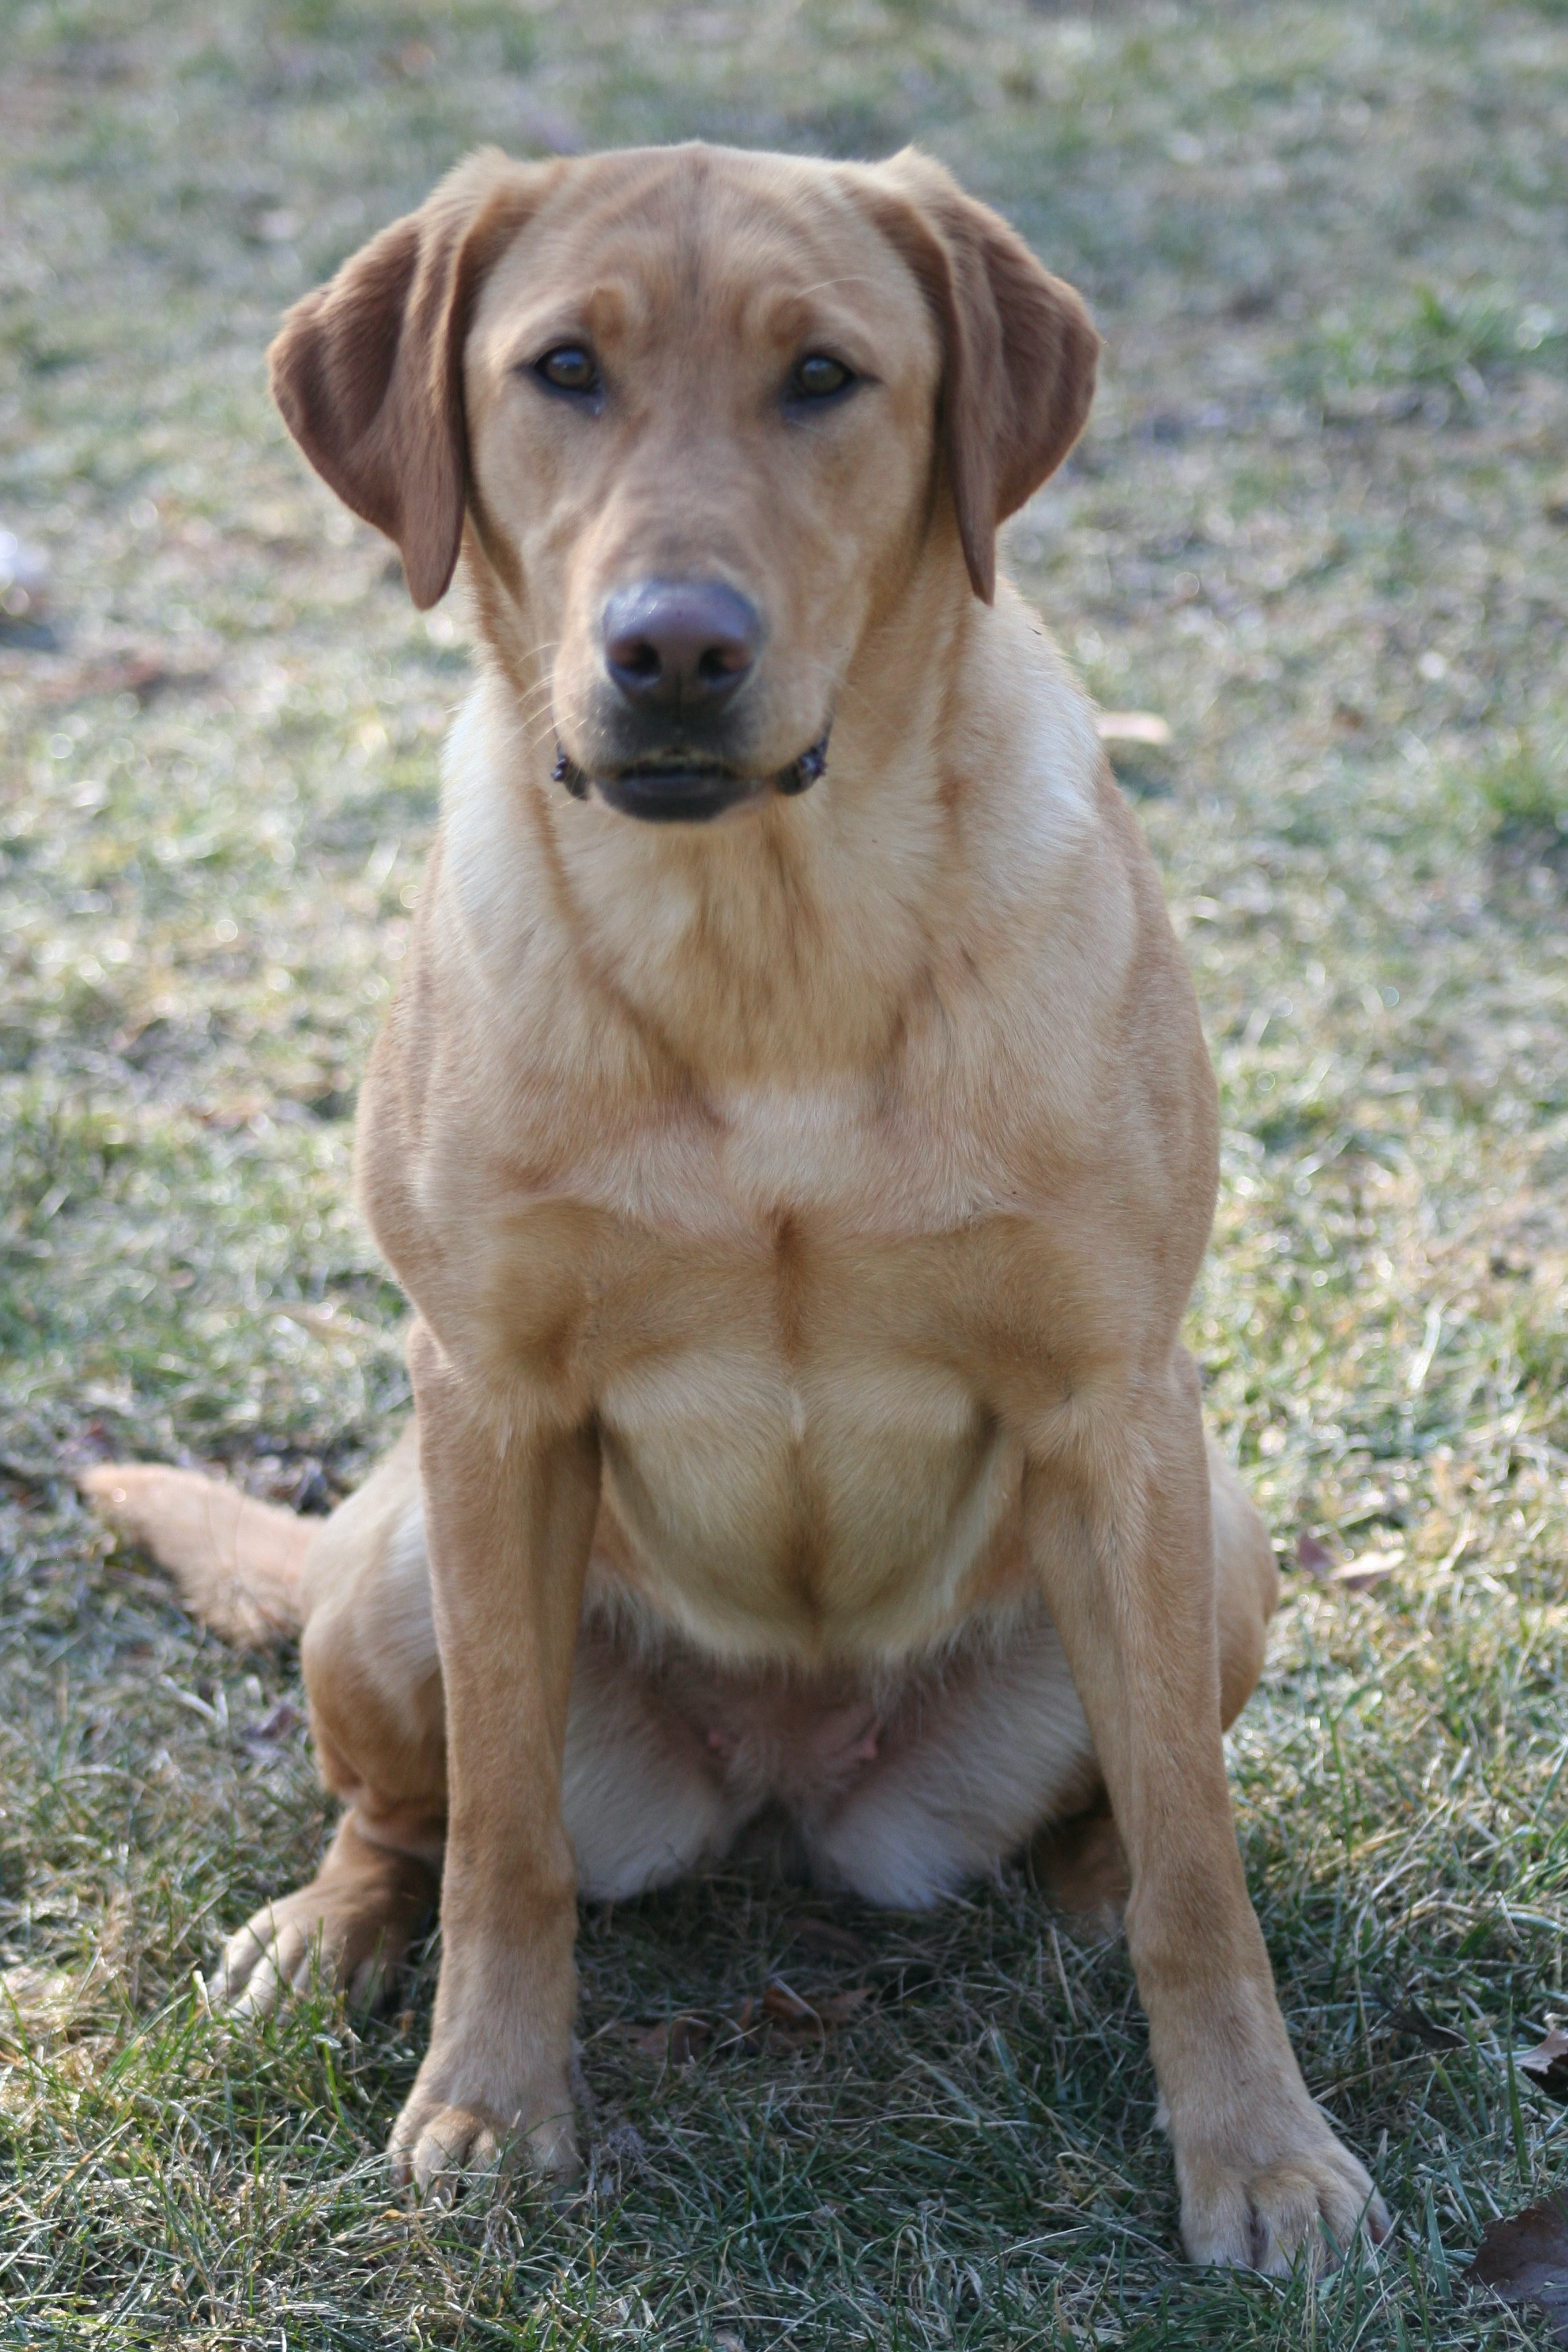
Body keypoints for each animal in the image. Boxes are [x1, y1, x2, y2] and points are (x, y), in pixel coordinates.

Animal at [86, 137, 1382, 2267]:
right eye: (564, 368)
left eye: (825, 377)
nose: (672, 648)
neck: (764, 943)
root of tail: (787, 1793)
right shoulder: (495, 1405)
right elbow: (505, 1842)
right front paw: (490, 2100)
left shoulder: (1116, 1406)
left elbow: (1204, 1869)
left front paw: (1260, 2151)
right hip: (398, 1557)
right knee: (412, 1811)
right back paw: (325, 1931)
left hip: (1219, 1540)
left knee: (1140, 1801)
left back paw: (1093, 1893)